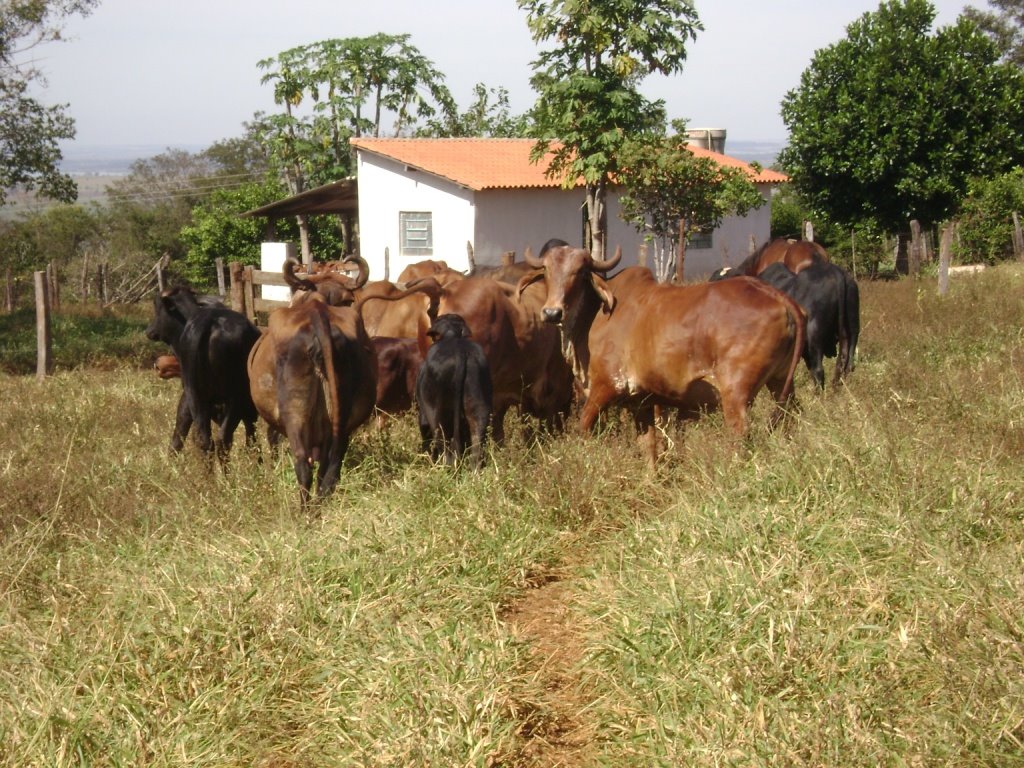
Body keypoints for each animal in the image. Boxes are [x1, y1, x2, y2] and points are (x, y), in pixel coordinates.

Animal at [146, 286, 262, 456]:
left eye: (156, 306)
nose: (149, 330)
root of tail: (209, 322)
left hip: (201, 394)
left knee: (208, 440)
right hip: (233, 397)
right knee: (222, 439)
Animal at [246, 296, 376, 507]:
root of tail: (317, 312)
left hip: (295, 412)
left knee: (303, 466)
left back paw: (304, 512)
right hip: (339, 420)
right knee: (330, 471)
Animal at [524, 246, 802, 466]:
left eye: (581, 272)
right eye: (546, 270)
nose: (552, 312)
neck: (595, 315)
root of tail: (778, 296)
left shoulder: (605, 388)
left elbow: (584, 429)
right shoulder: (641, 401)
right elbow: (648, 444)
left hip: (736, 394)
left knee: (740, 434)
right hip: (781, 383)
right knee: (791, 419)